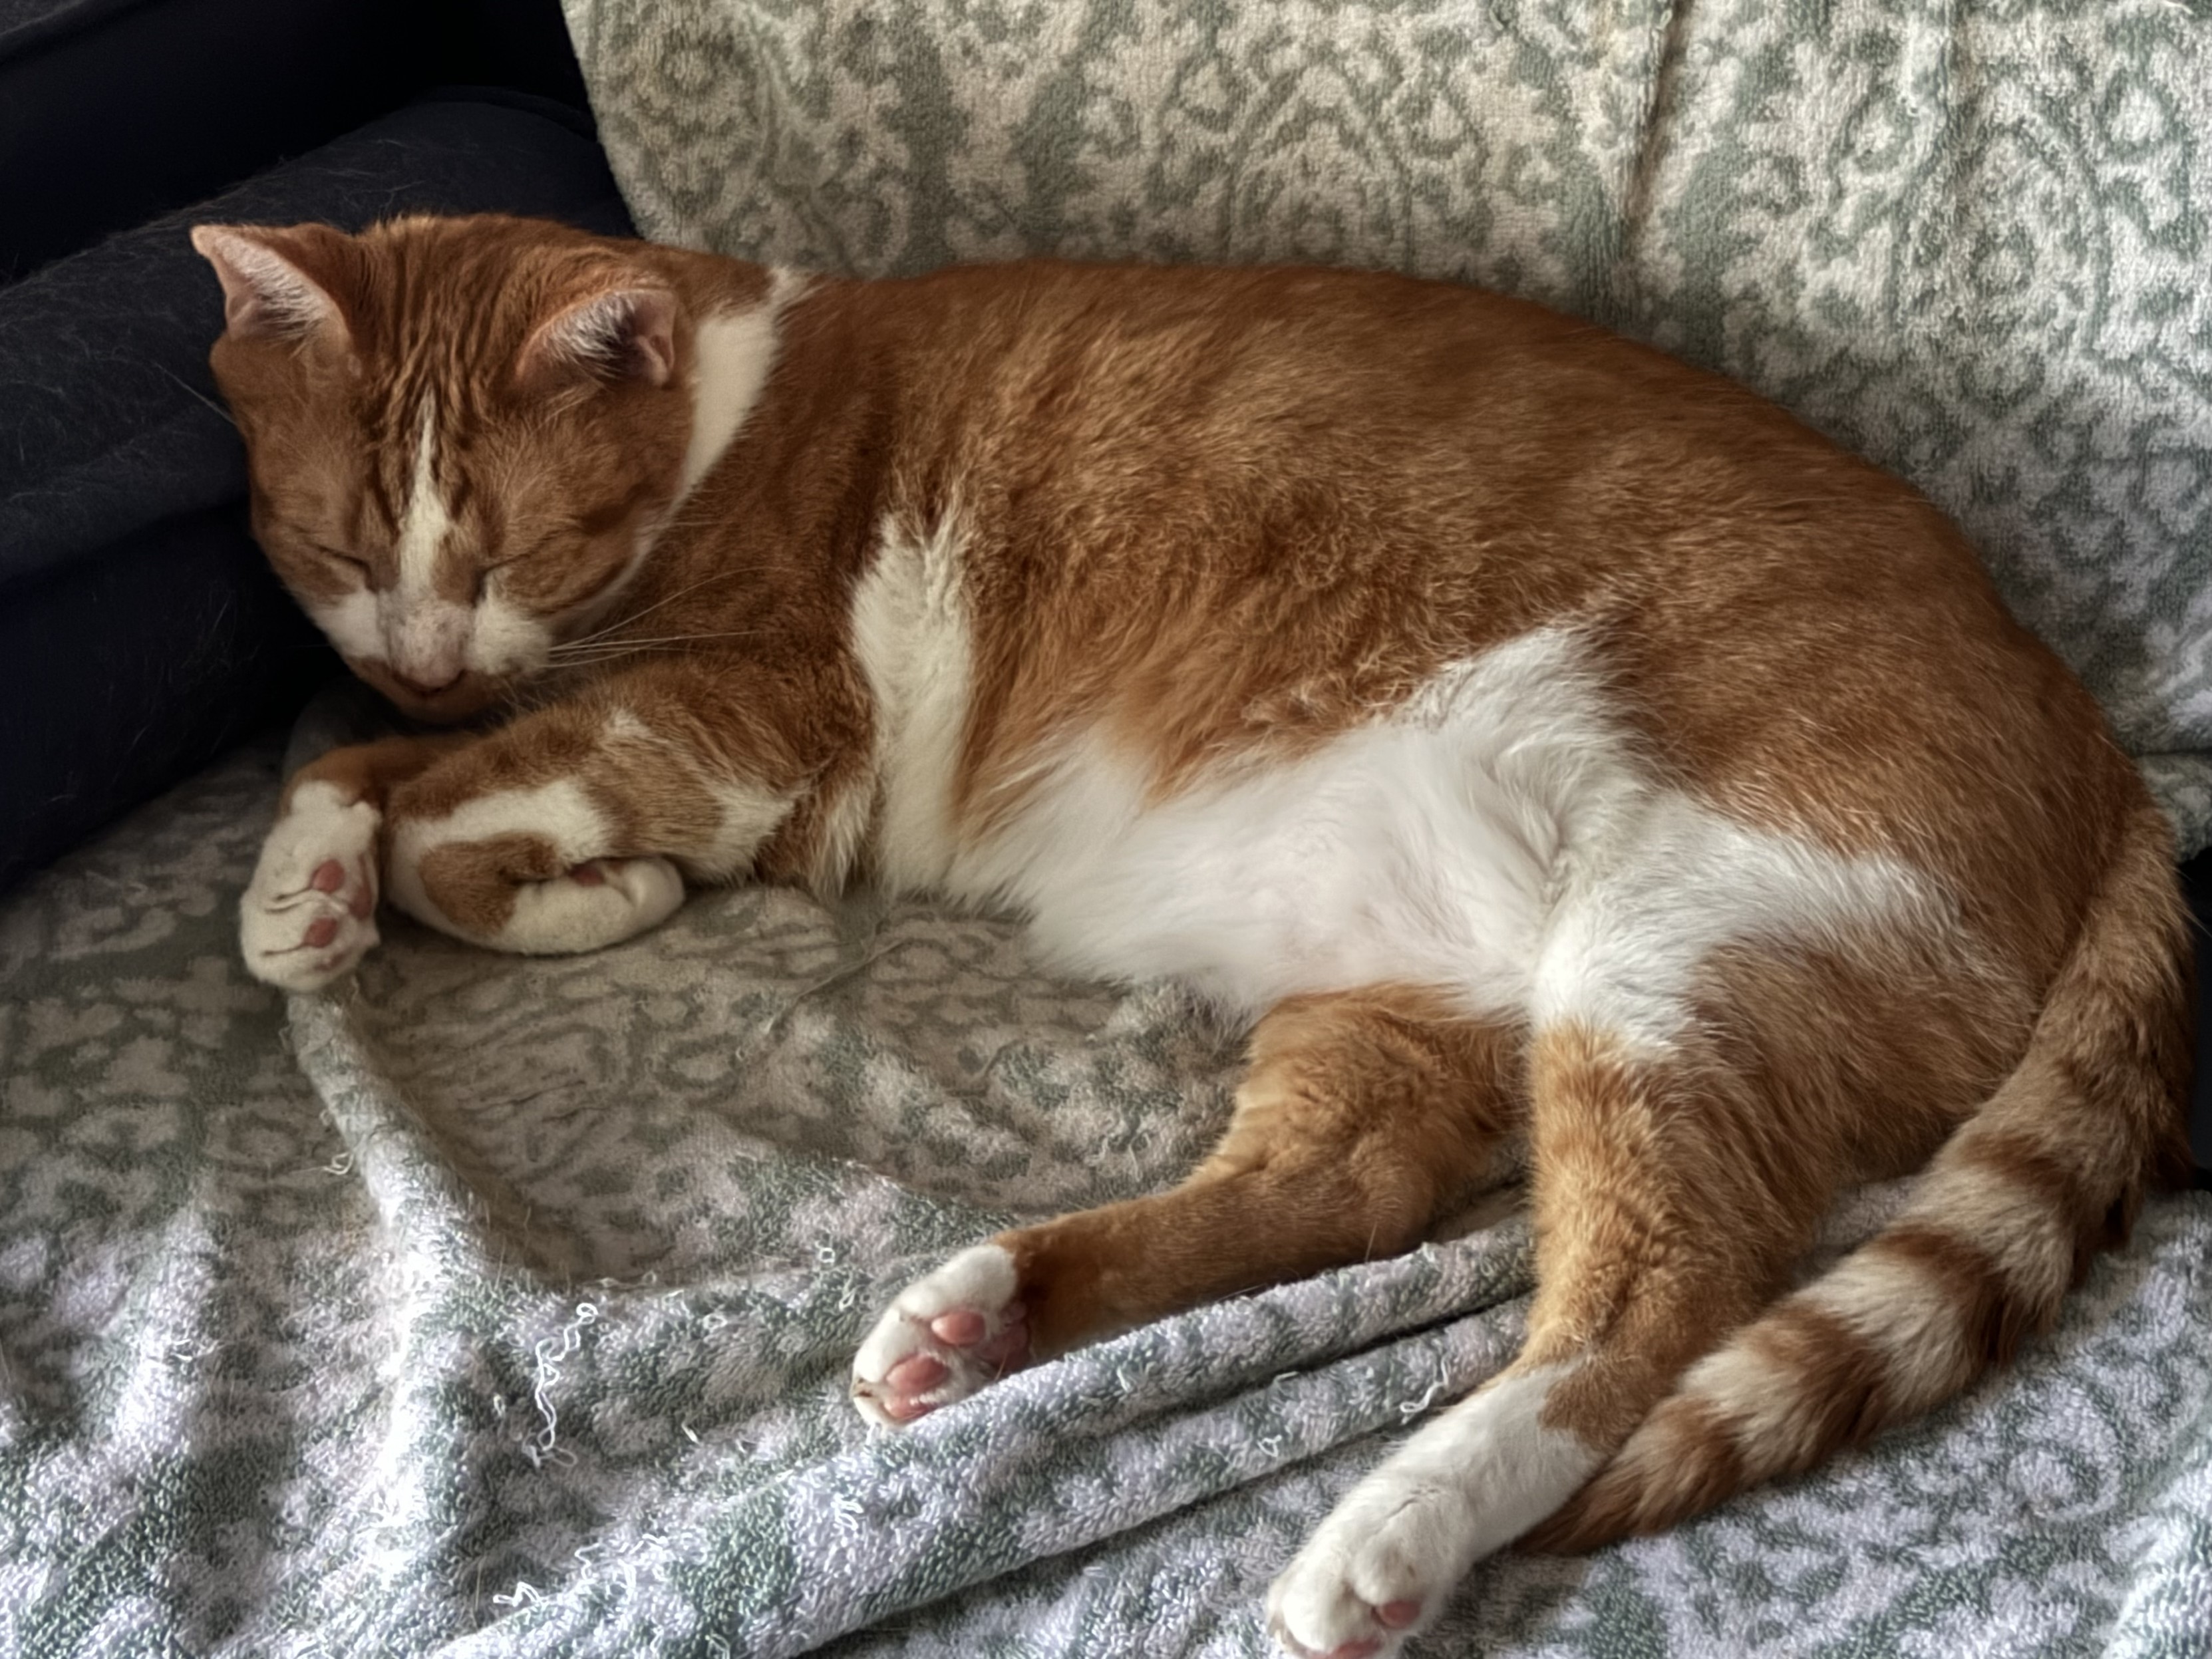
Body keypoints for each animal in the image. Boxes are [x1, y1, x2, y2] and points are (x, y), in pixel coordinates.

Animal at [194, 214, 2194, 1654]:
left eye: (507, 546)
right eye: (334, 545)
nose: (421, 644)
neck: (724, 423)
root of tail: (2096, 738)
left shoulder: (750, 725)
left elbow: (457, 820)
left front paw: (544, 883)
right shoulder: (580, 718)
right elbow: (379, 766)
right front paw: (307, 882)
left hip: (1664, 949)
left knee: (1649, 1296)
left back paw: (1385, 1530)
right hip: (1402, 996)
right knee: (1348, 1183)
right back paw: (977, 1320)